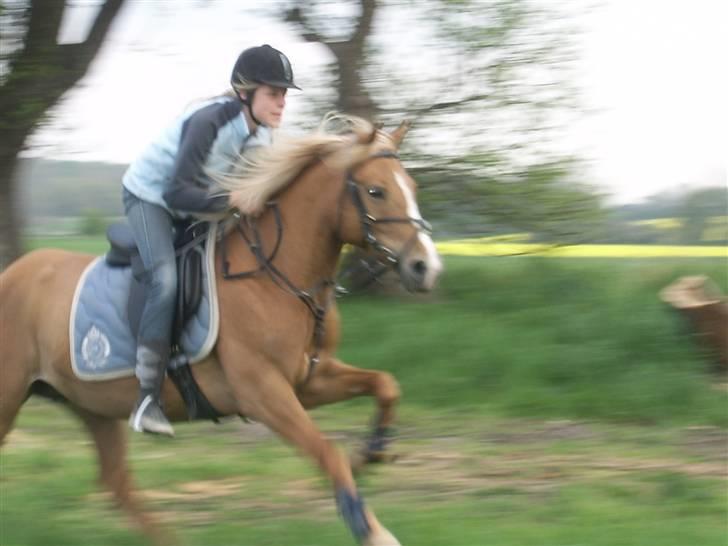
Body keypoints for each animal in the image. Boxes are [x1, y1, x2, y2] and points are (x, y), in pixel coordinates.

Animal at [0, 116, 440, 544]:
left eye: (413, 187)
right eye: (376, 191)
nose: (426, 268)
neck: (276, 277)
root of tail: (11, 273)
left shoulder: (308, 380)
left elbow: (385, 385)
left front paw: (370, 455)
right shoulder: (261, 392)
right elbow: (327, 452)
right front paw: (372, 530)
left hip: (93, 405)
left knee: (117, 483)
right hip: (13, 398)